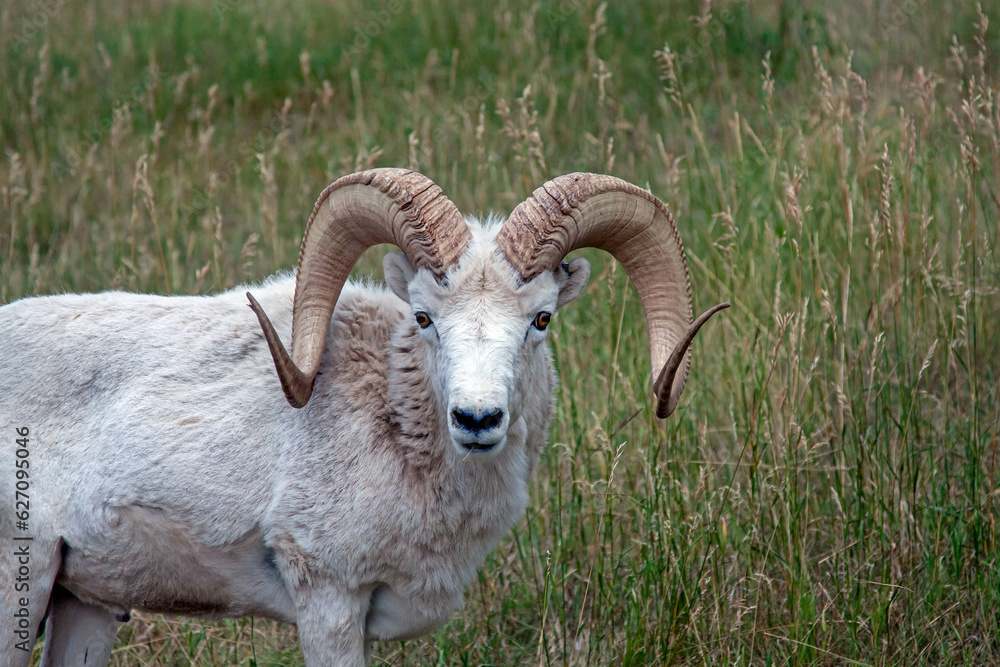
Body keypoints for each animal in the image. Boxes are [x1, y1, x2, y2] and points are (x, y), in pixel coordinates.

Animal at [0, 168, 727, 666]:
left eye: (541, 319)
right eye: (425, 316)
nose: (478, 419)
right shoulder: (329, 605)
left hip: (87, 605)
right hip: (21, 587)